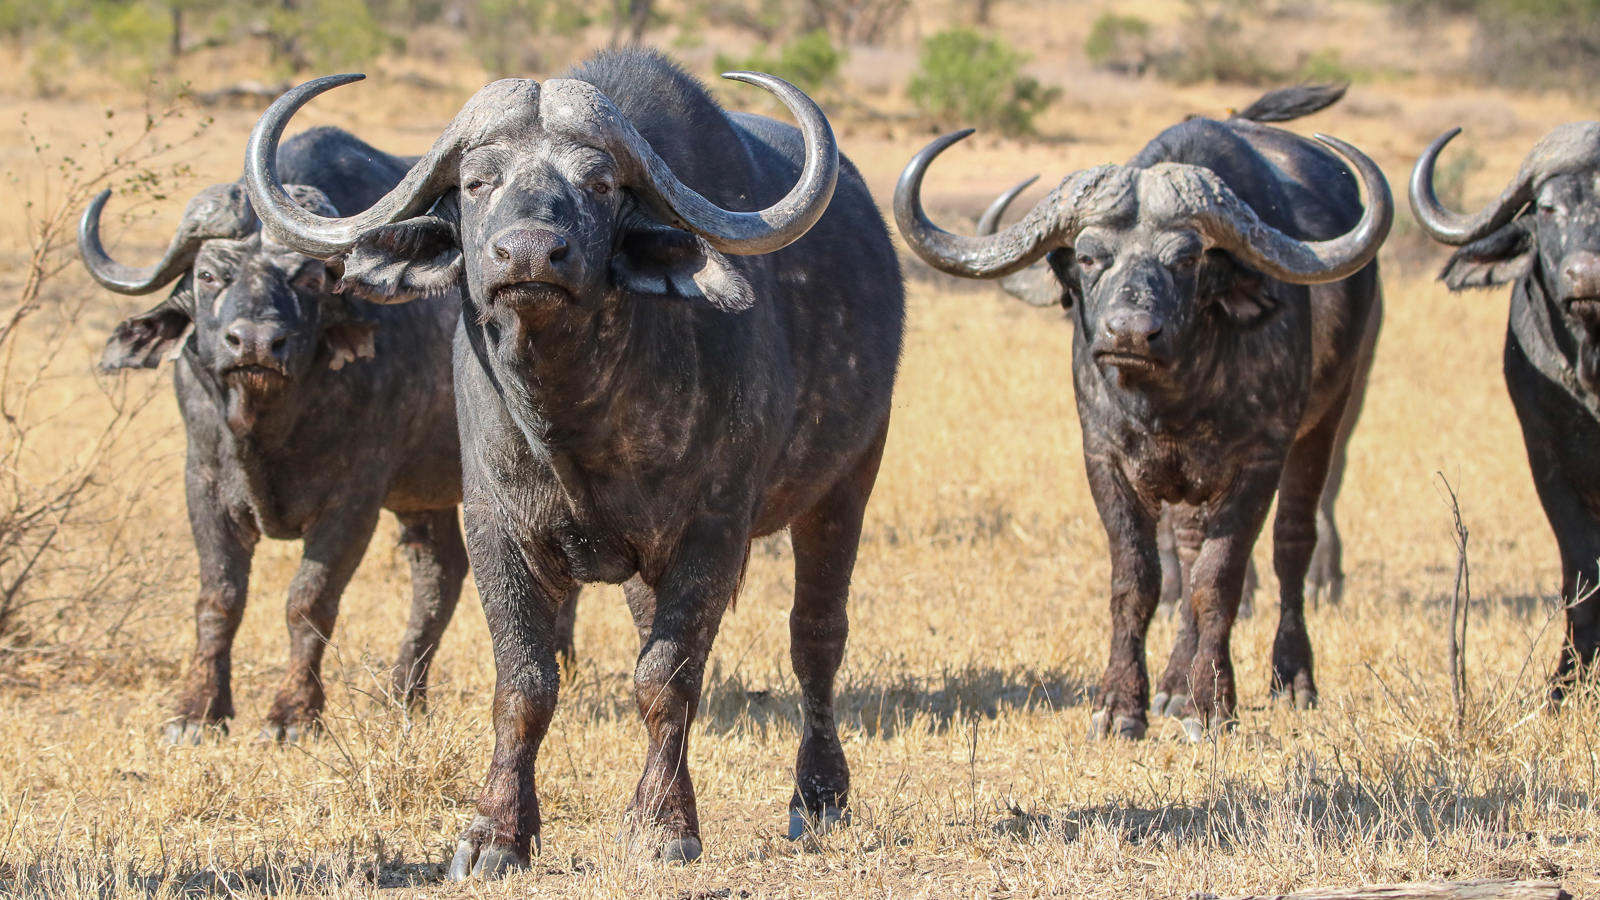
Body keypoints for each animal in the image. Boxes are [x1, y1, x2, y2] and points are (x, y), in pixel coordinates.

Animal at [80, 126, 470, 745]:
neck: (269, 429)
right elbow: (219, 598)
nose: (257, 343)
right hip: (425, 497)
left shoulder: (355, 499)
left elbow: (308, 601)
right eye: (208, 275)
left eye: (308, 278)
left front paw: (292, 714)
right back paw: (403, 697)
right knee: (441, 575)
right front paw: (197, 711)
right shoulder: (204, 483)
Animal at [242, 48, 903, 874]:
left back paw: (819, 796)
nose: (528, 252)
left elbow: (665, 678)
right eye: (476, 181)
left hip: (847, 484)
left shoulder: (714, 531)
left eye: (598, 183)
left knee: (815, 638)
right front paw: (496, 833)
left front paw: (662, 824)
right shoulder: (497, 528)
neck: (575, 413)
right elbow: (525, 685)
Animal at [895, 86, 1392, 741]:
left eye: (1186, 259)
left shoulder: (1259, 461)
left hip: (1329, 419)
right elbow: (1139, 580)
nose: (1129, 333)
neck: (1174, 398)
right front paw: (1122, 705)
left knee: (1291, 545)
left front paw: (1212, 704)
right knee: (1187, 554)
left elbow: (1219, 580)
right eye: (1088, 256)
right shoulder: (1106, 459)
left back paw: (1289, 678)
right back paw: (1173, 688)